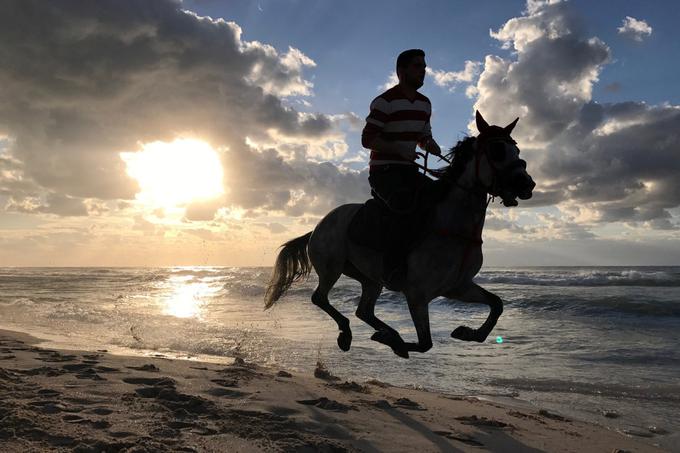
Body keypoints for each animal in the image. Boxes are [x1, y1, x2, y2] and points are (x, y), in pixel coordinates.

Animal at [262, 110, 532, 356]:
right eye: (497, 150)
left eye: (517, 151)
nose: (527, 184)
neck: (454, 228)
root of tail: (318, 226)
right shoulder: (417, 294)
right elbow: (425, 343)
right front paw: (394, 343)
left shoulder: (458, 287)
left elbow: (496, 304)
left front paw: (467, 333)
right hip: (332, 267)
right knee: (320, 298)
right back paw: (352, 334)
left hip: (370, 278)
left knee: (363, 310)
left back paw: (384, 332)